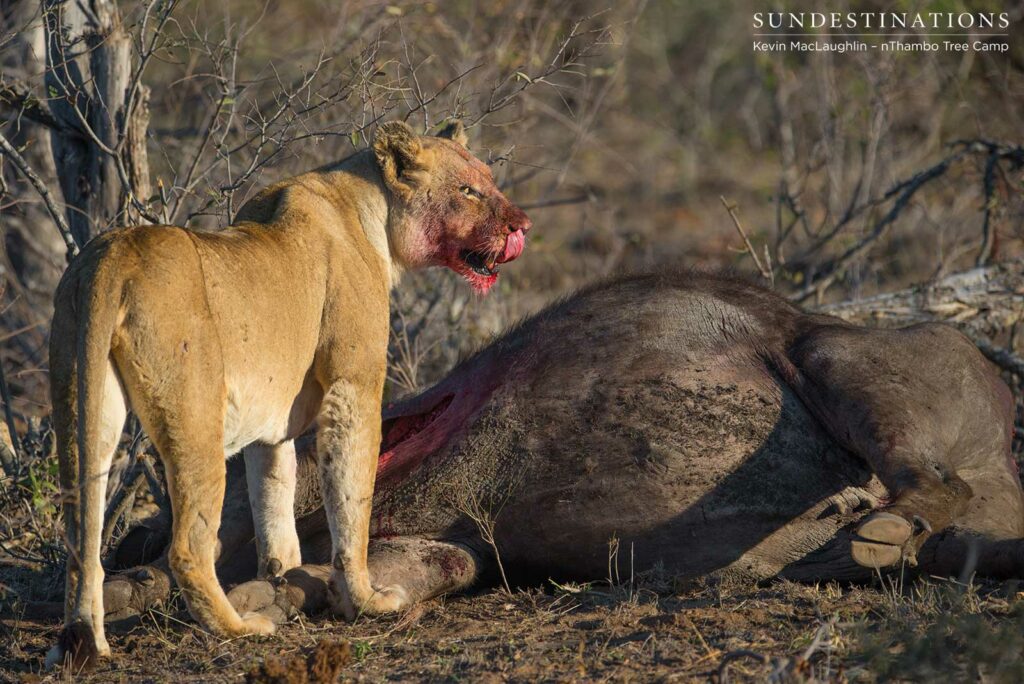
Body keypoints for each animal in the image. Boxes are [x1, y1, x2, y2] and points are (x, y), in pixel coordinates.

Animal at [45, 120, 531, 669]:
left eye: (489, 180)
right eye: (467, 190)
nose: (522, 224)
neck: (372, 212)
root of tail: (114, 253)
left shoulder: (271, 425)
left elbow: (274, 501)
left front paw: (284, 579)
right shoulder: (353, 386)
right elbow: (351, 499)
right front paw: (365, 599)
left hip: (82, 399)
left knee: (82, 535)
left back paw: (90, 643)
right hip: (195, 415)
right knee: (187, 547)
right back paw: (239, 628)